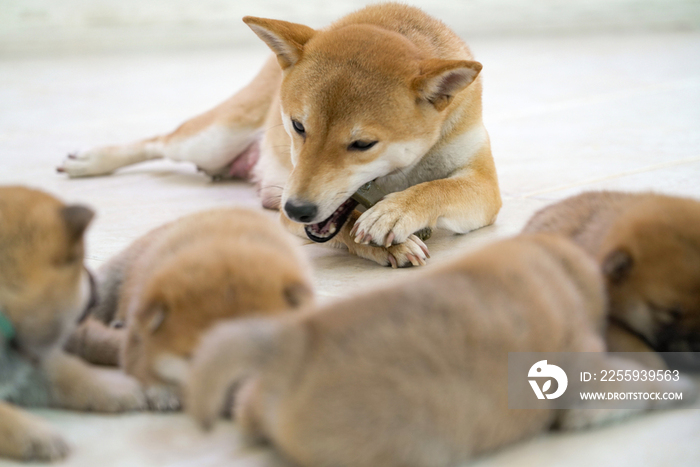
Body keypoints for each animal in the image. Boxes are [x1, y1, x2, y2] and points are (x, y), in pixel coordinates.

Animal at [0, 187, 146, 464]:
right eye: (77, 264)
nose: (95, 280)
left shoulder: (28, 366)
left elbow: (73, 375)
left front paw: (119, 389)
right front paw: (34, 434)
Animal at [57, 3, 500, 268]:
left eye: (363, 144)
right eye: (298, 126)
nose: (298, 209)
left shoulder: (483, 187)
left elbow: (436, 189)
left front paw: (395, 212)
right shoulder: (290, 206)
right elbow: (349, 225)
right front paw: (387, 243)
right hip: (212, 140)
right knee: (158, 141)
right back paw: (92, 161)